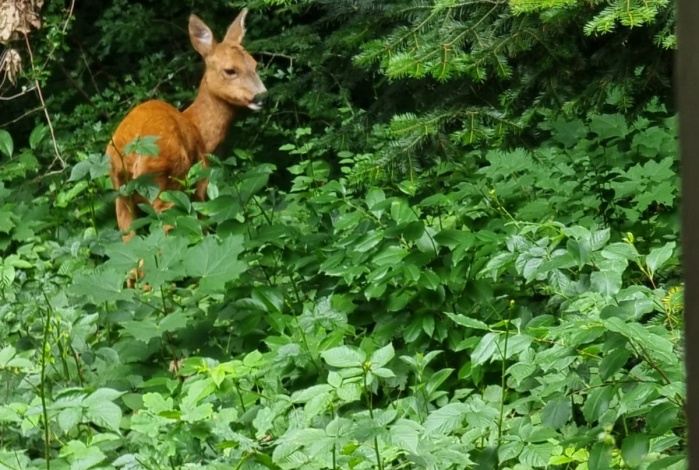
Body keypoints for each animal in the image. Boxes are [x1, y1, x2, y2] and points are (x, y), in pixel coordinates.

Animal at [107, 9, 268, 248]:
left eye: (255, 64)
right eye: (230, 70)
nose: (262, 96)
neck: (198, 126)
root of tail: (133, 151)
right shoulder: (201, 183)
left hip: (120, 192)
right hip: (166, 185)